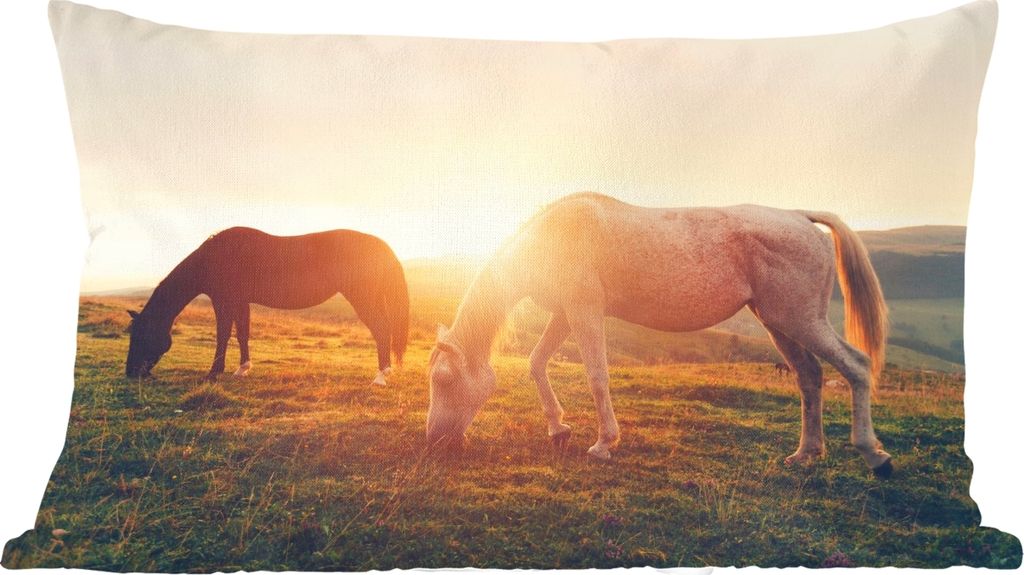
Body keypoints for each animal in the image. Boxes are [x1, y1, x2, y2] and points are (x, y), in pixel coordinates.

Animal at [126, 227, 409, 386]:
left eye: (140, 335)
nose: (131, 373)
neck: (213, 258)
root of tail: (379, 244)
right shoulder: (240, 301)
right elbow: (242, 334)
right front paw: (242, 369)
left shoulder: (223, 300)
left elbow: (222, 335)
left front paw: (214, 373)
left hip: (362, 297)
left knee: (381, 329)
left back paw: (381, 376)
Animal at [427, 192, 893, 477]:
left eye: (443, 380)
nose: (433, 441)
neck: (552, 236)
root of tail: (800, 216)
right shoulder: (564, 313)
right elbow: (536, 363)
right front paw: (558, 429)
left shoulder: (584, 310)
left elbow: (597, 376)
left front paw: (603, 443)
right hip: (779, 324)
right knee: (810, 377)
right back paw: (805, 453)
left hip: (800, 321)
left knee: (856, 366)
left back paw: (874, 454)